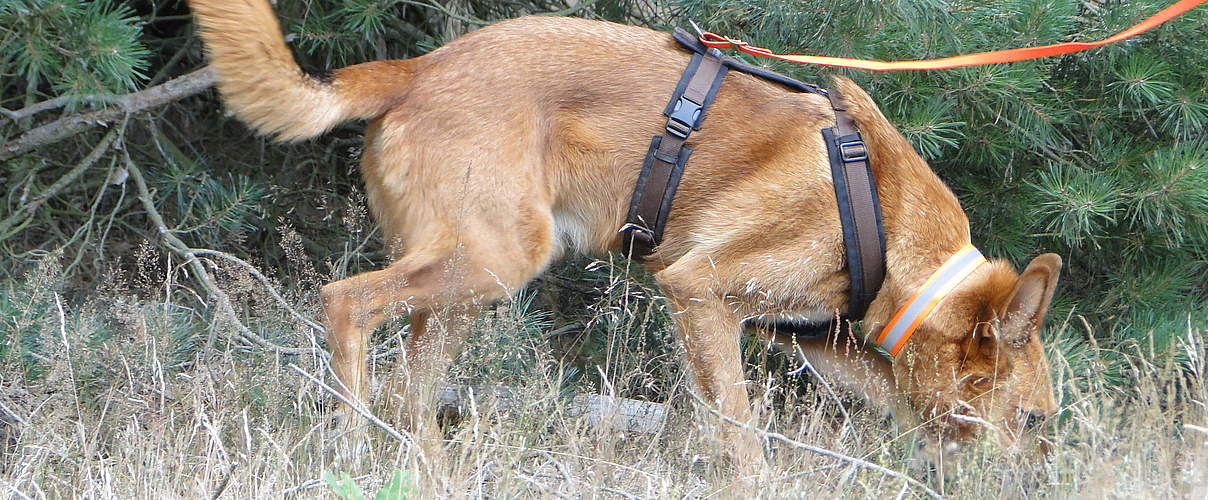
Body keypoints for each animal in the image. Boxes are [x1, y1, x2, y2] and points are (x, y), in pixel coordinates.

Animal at [186, 0, 1058, 468]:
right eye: (1035, 420)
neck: (887, 220)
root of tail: (417, 70)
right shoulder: (700, 293)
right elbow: (741, 432)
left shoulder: (818, 340)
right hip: (493, 262)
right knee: (345, 303)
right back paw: (353, 442)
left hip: (466, 289)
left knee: (411, 391)